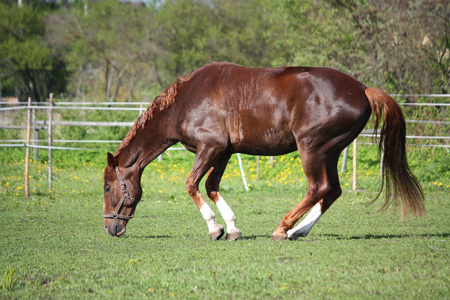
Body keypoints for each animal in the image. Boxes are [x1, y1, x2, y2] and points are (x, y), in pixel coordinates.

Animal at [103, 62, 426, 240]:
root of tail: (362, 89)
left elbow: (192, 184)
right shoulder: (223, 152)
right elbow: (211, 186)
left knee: (317, 188)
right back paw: (299, 231)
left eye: (107, 188)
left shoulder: (210, 147)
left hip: (311, 148)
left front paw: (214, 228)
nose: (110, 228)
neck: (186, 101)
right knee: (332, 191)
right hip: (331, 152)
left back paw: (284, 228)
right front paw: (232, 228)